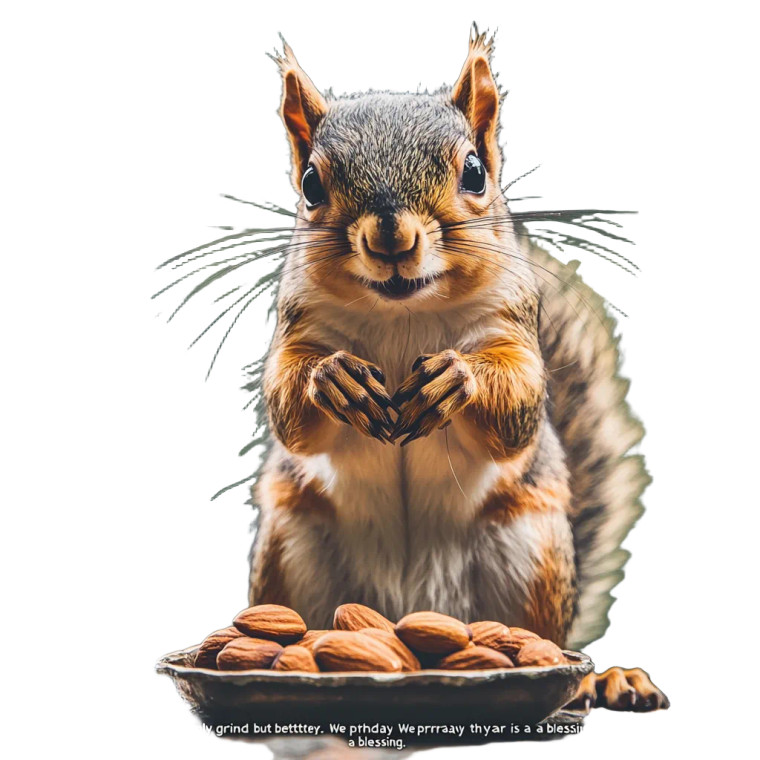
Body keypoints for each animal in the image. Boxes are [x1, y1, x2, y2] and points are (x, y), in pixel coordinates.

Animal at [228, 27, 668, 712]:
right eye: (310, 184)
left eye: (475, 171)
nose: (391, 235)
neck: (401, 312)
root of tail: (410, 608)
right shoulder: (297, 326)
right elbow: (289, 411)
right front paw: (332, 378)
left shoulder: (510, 328)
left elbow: (516, 410)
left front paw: (457, 378)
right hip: (289, 553)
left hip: (530, 560)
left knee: (543, 643)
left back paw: (596, 679)